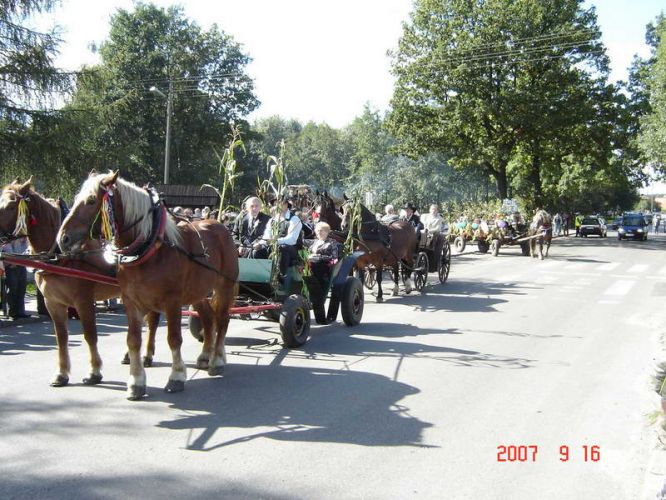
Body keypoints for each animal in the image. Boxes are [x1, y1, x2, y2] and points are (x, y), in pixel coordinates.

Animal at [0, 180, 162, 386]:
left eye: (11, 206)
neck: (60, 256)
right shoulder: (53, 303)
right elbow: (61, 337)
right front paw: (61, 373)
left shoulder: (83, 301)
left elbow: (90, 335)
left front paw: (94, 371)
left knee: (152, 321)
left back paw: (147, 355)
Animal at [56, 171, 239, 398]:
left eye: (91, 200)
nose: (63, 238)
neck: (150, 248)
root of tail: (220, 226)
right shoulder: (131, 300)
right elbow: (133, 339)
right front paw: (136, 382)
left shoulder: (172, 301)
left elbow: (174, 338)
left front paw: (176, 377)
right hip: (198, 292)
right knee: (208, 318)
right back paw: (205, 356)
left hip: (225, 286)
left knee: (222, 321)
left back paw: (217, 360)